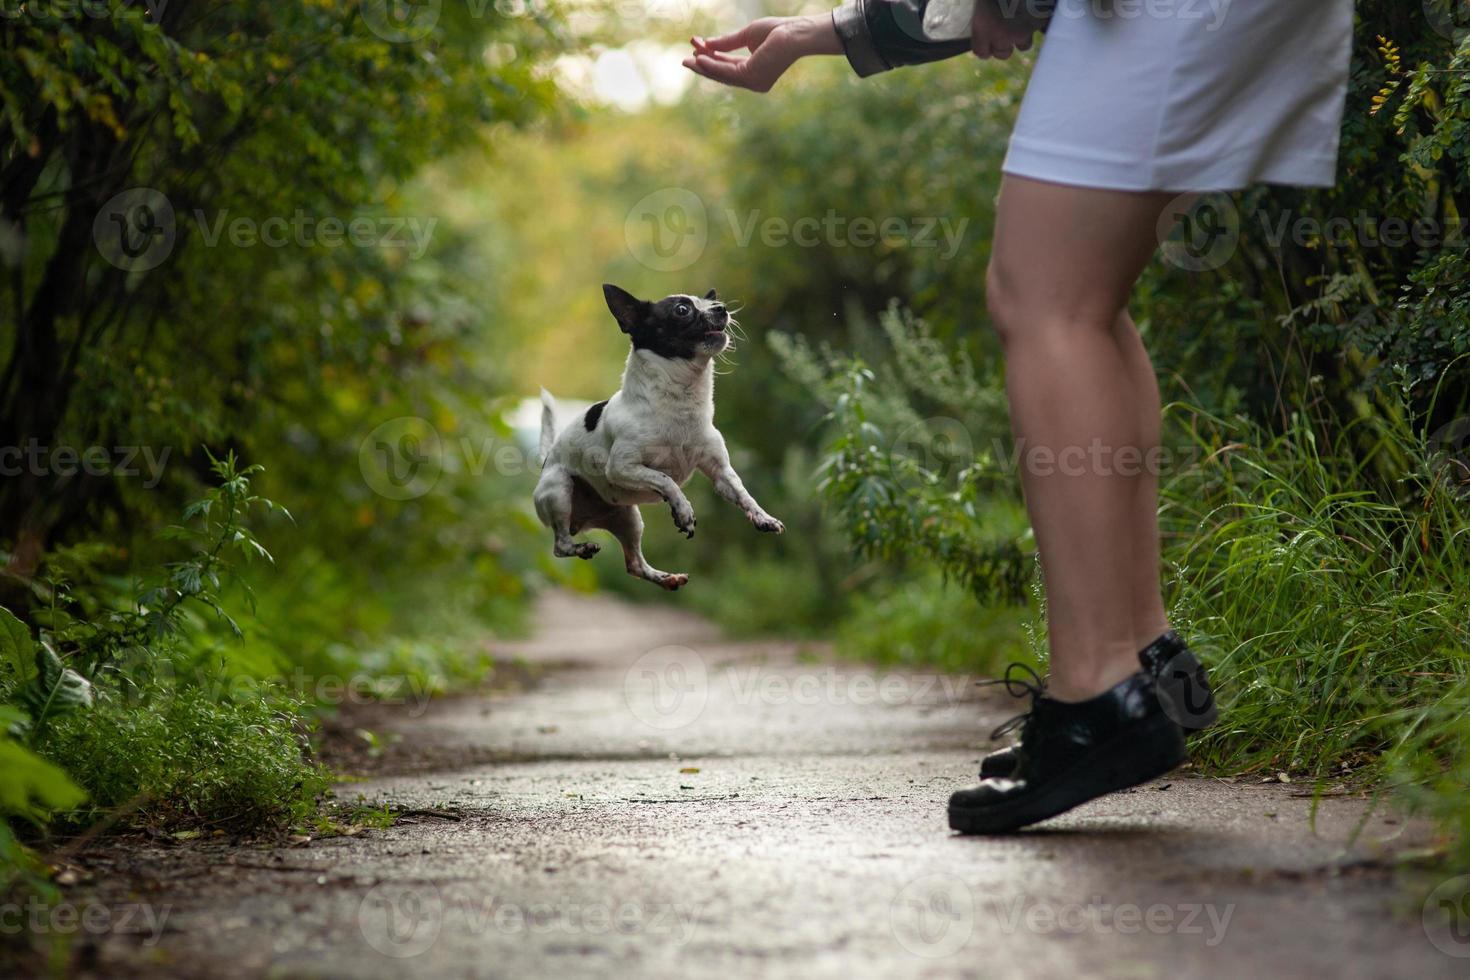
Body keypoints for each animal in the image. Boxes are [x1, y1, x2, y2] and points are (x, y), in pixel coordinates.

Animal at [538, 283, 787, 590]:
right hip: (559, 491)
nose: (722, 308)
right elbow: (665, 480)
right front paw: (683, 511)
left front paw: (763, 517)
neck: (681, 402)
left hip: (629, 518)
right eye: (682, 310)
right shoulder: (621, 468)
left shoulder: (721, 472)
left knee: (634, 564)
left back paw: (667, 578)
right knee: (560, 546)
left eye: (709, 302)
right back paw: (581, 547)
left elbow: (743, 493)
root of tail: (547, 458)